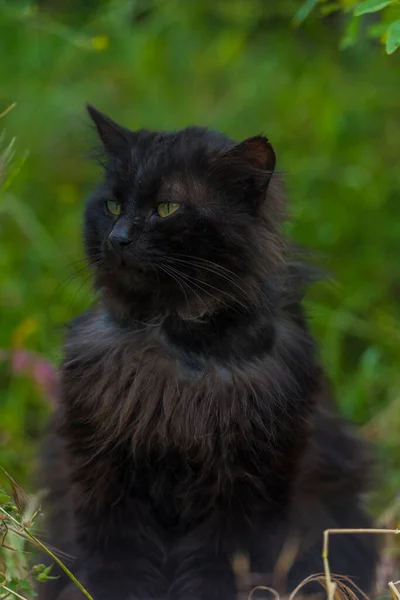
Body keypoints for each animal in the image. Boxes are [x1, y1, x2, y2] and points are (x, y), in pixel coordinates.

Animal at [39, 105, 378, 596]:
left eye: (166, 208)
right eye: (112, 205)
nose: (117, 238)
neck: (172, 351)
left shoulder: (241, 492)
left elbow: (216, 569)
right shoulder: (103, 478)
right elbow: (117, 563)